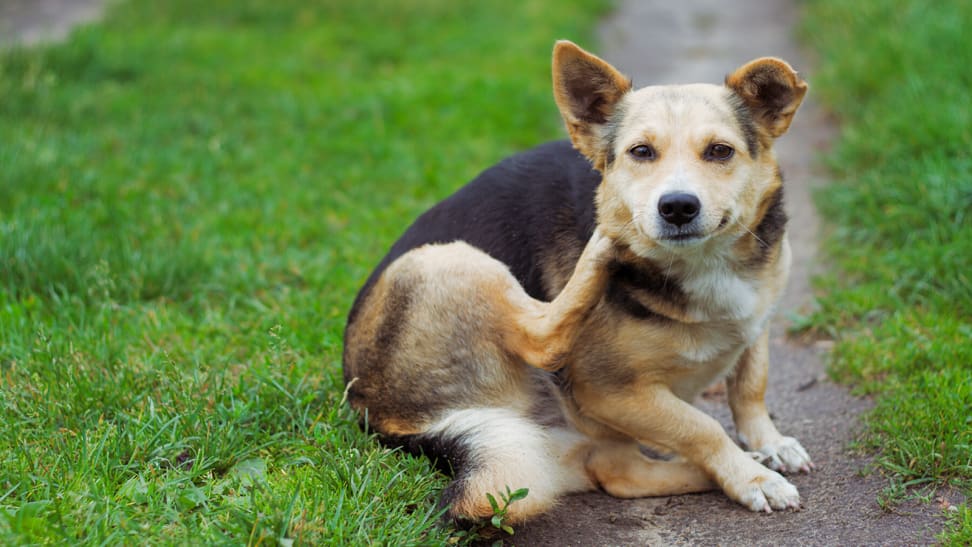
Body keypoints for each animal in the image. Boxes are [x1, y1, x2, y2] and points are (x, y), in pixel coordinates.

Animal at [342, 40, 812, 524]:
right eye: (641, 152)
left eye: (720, 151)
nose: (677, 207)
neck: (705, 262)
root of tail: (379, 415)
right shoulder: (608, 391)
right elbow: (703, 427)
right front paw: (750, 477)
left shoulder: (757, 317)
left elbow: (750, 385)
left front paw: (768, 445)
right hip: (450, 258)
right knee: (543, 340)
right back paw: (605, 244)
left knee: (618, 472)